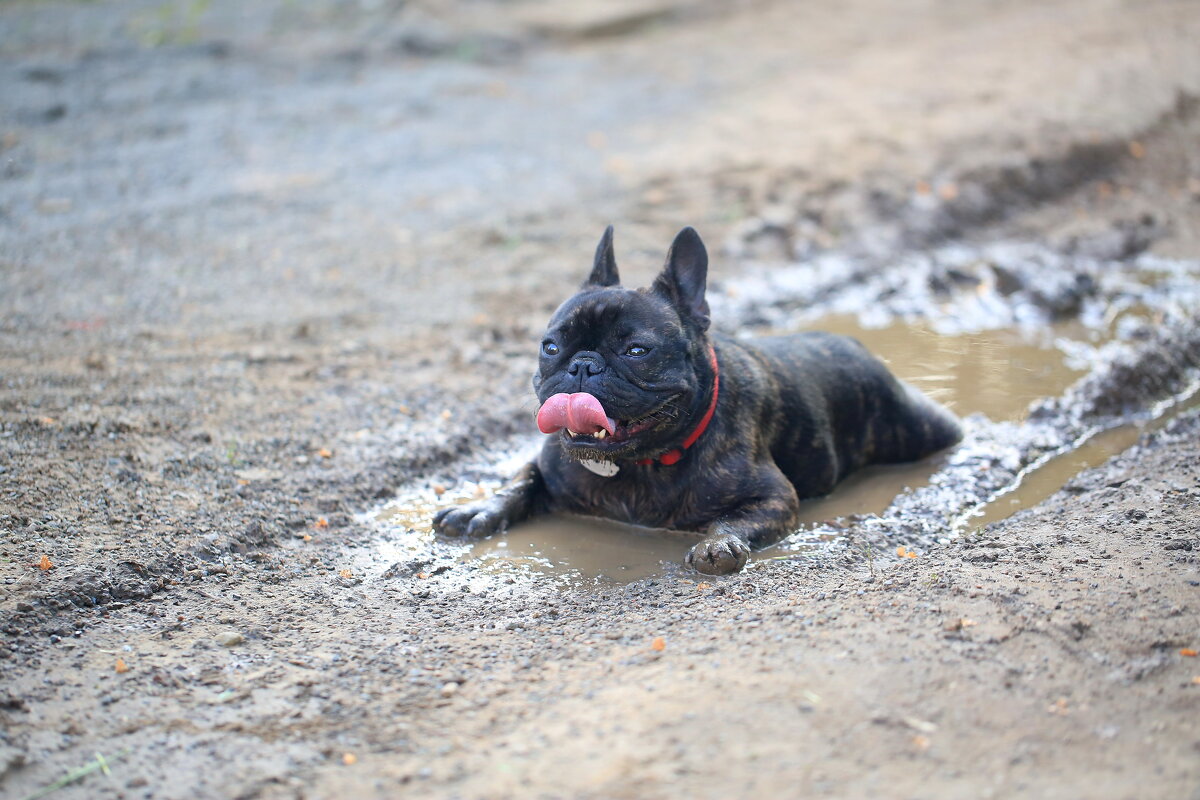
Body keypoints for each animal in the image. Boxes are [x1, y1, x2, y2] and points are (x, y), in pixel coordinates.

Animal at [436, 226, 960, 575]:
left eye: (637, 350)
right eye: (550, 346)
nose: (583, 364)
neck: (639, 465)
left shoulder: (774, 497)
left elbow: (732, 520)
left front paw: (719, 545)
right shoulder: (544, 465)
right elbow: (517, 483)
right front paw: (478, 508)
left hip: (917, 426)